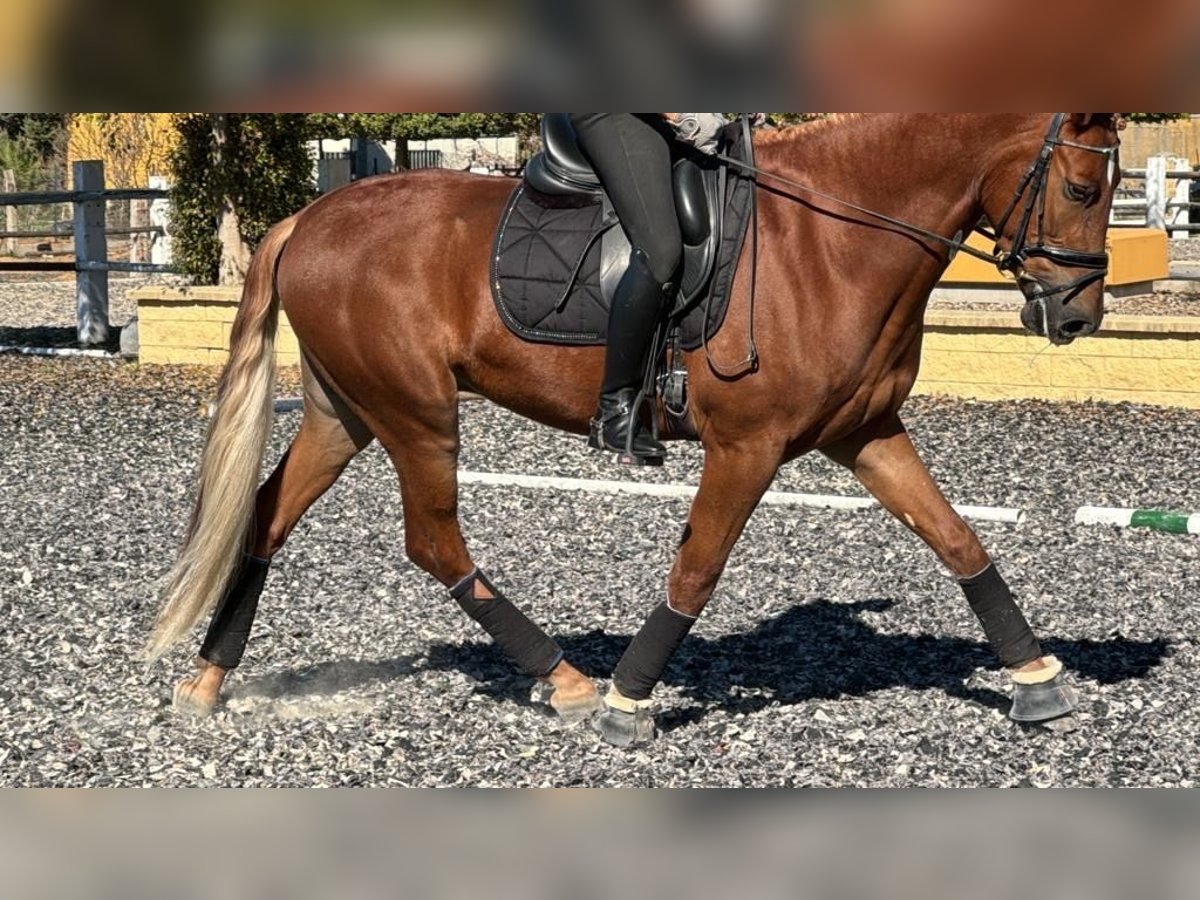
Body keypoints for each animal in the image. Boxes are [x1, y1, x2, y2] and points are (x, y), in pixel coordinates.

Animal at [150, 114, 1123, 748]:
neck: (831, 239)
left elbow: (957, 539)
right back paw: (568, 680)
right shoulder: (748, 448)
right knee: (432, 542)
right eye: (1082, 186)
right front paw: (628, 702)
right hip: (416, 415)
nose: (1078, 317)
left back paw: (207, 680)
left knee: (268, 516)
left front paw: (1036, 680)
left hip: (346, 411)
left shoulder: (866, 430)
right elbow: (697, 570)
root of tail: (309, 218)